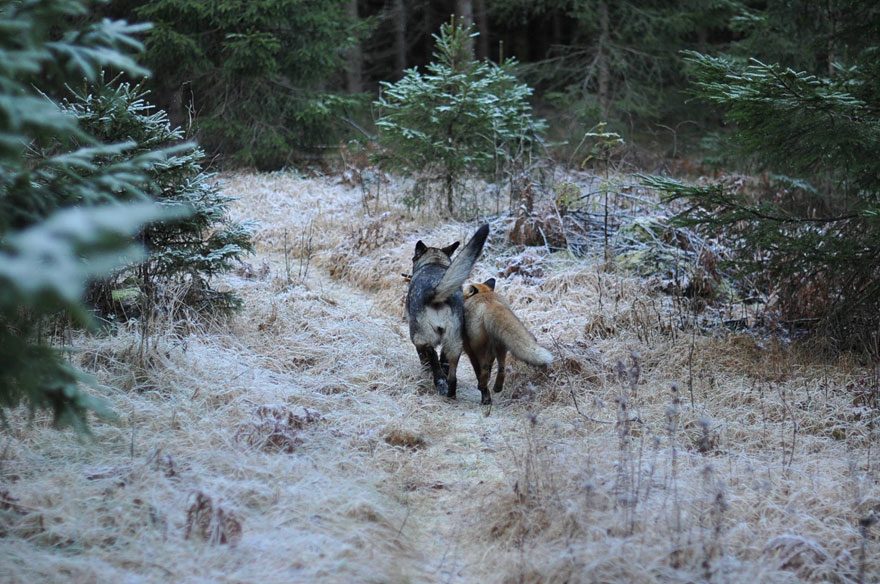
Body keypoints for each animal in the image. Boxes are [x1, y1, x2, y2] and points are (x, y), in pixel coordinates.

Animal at [405, 224, 490, 398]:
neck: (434, 262)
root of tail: (436, 293)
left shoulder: (419, 341)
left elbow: (424, 359)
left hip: (421, 336)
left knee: (432, 356)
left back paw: (439, 383)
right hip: (454, 341)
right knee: (450, 372)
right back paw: (450, 391)